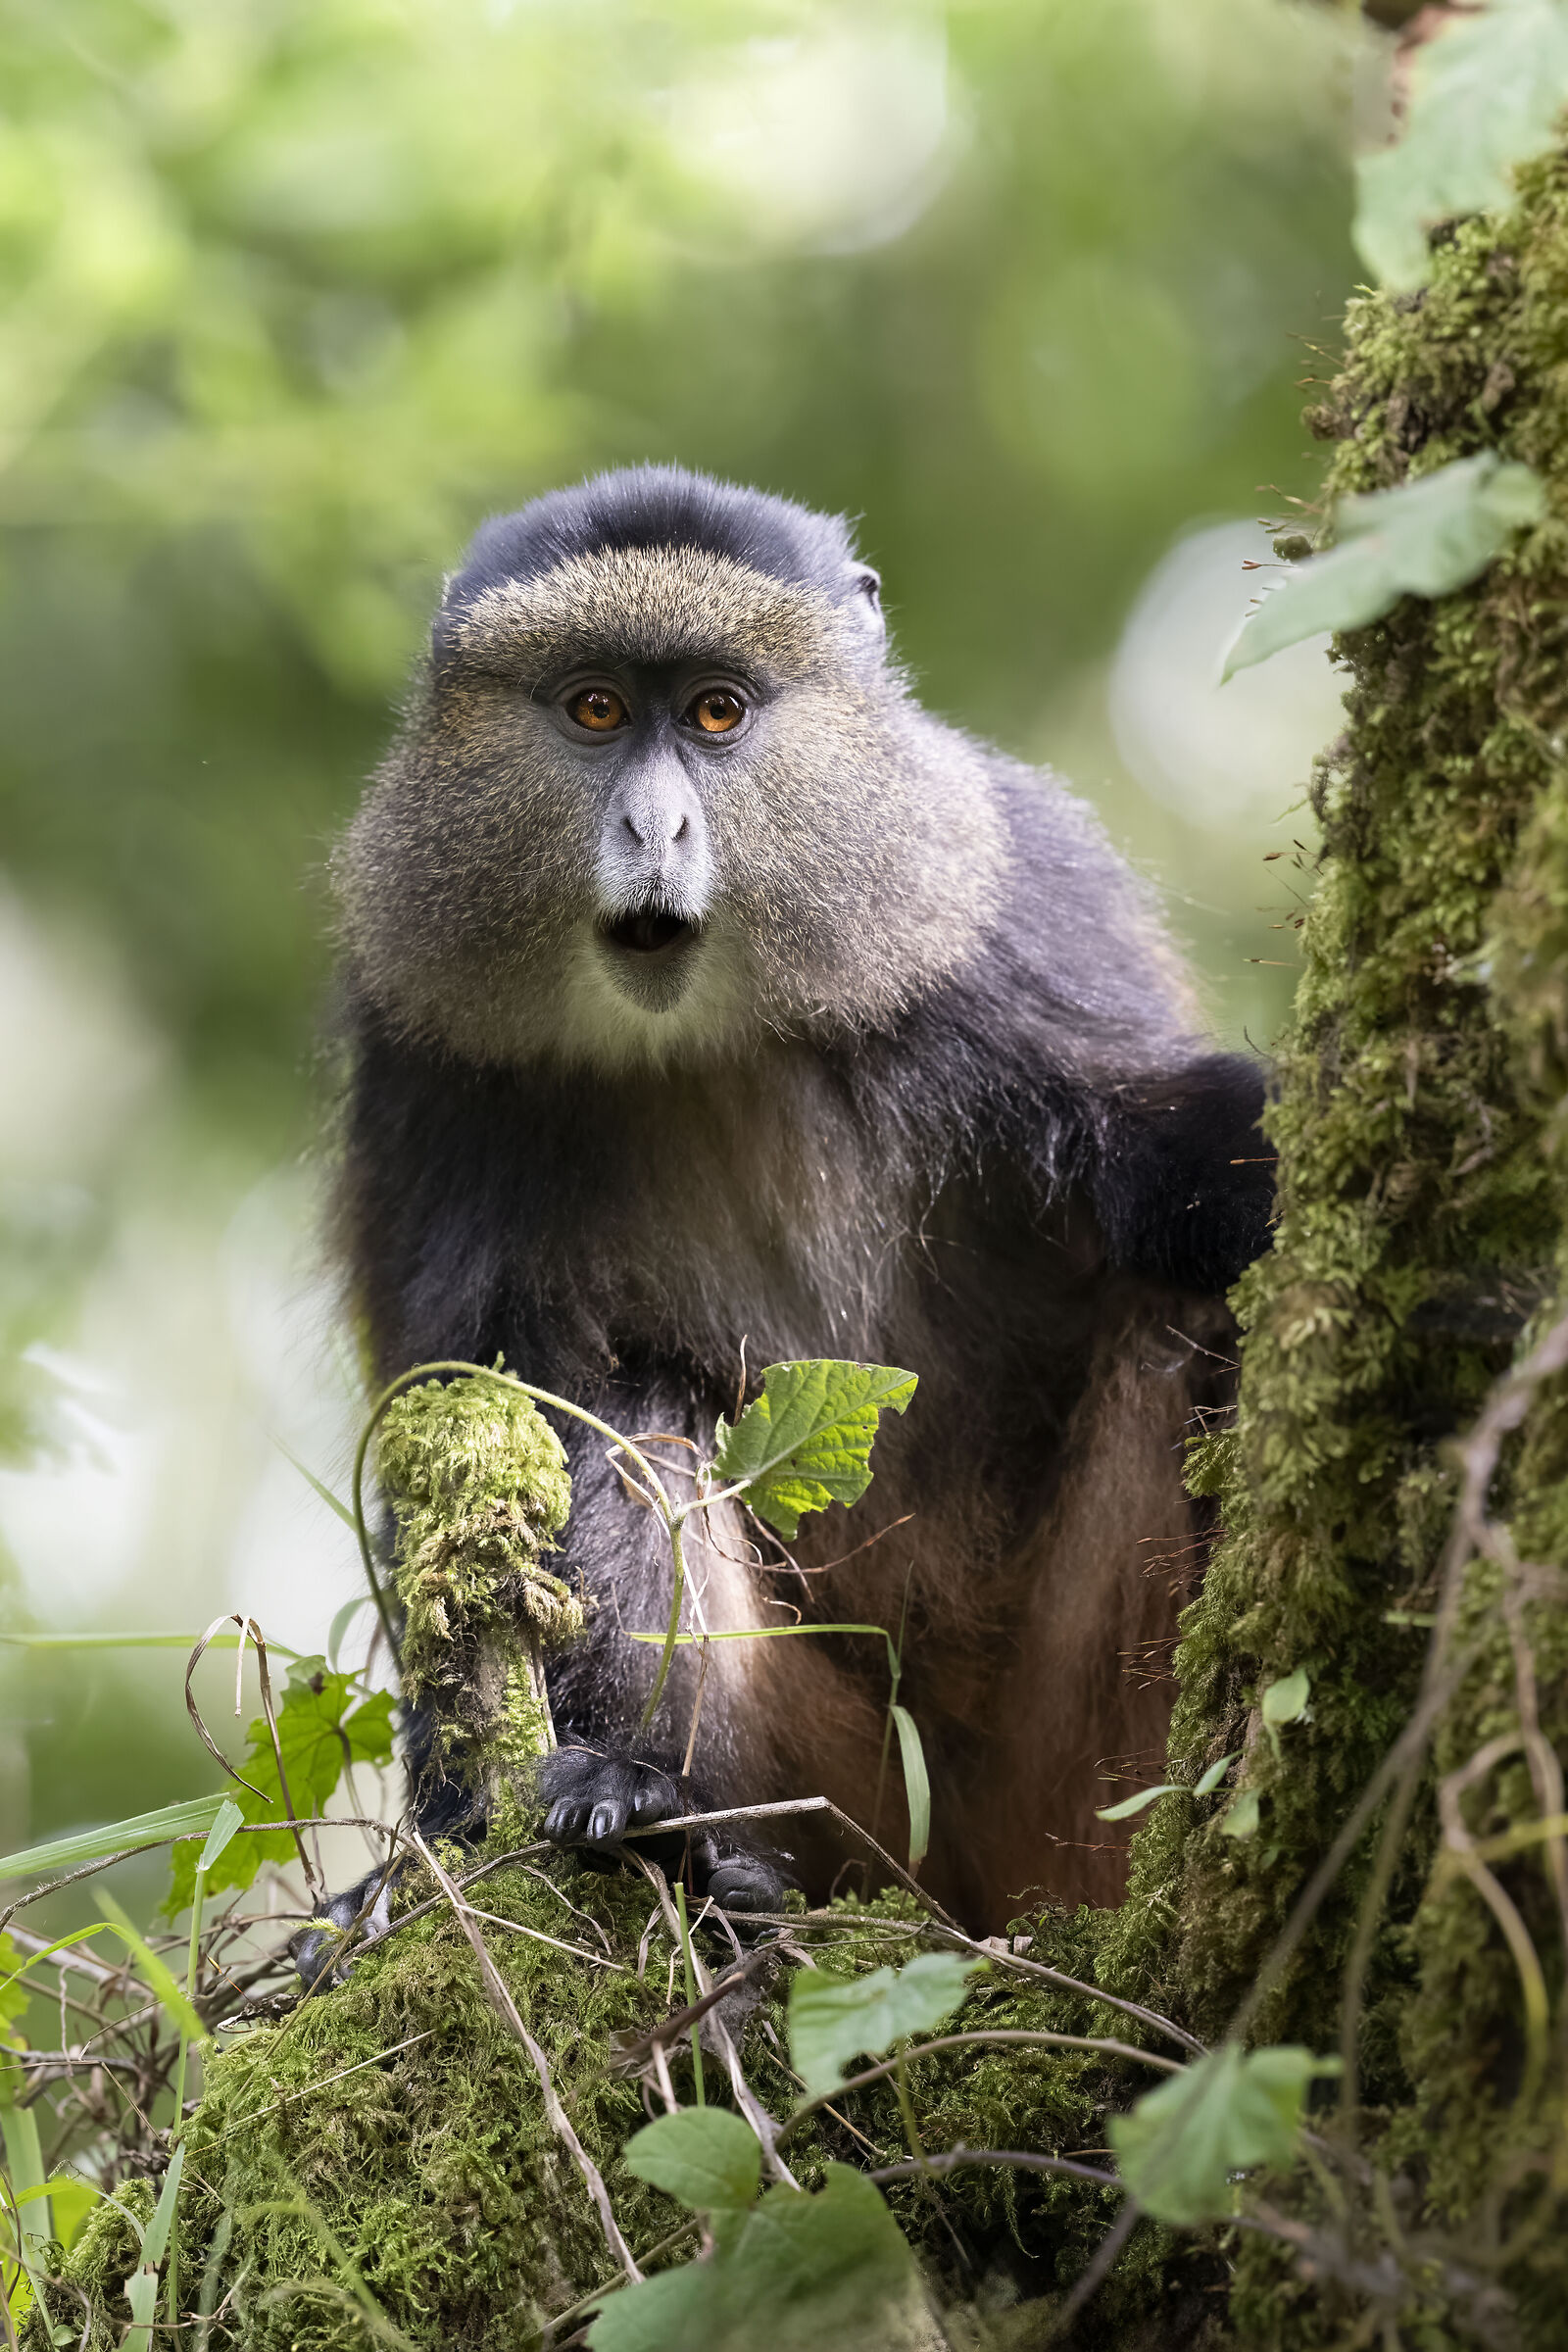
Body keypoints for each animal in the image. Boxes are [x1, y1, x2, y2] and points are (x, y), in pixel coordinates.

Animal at [325, 463, 1272, 1939]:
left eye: (718, 712)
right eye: (595, 709)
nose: (654, 826)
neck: (710, 1035)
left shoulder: (1005, 925)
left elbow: (1170, 1156)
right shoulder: (422, 1056)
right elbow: (469, 1416)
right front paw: (426, 1843)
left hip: (1074, 1767)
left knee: (1178, 1315)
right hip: (833, 1787)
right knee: (630, 1415)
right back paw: (652, 1818)